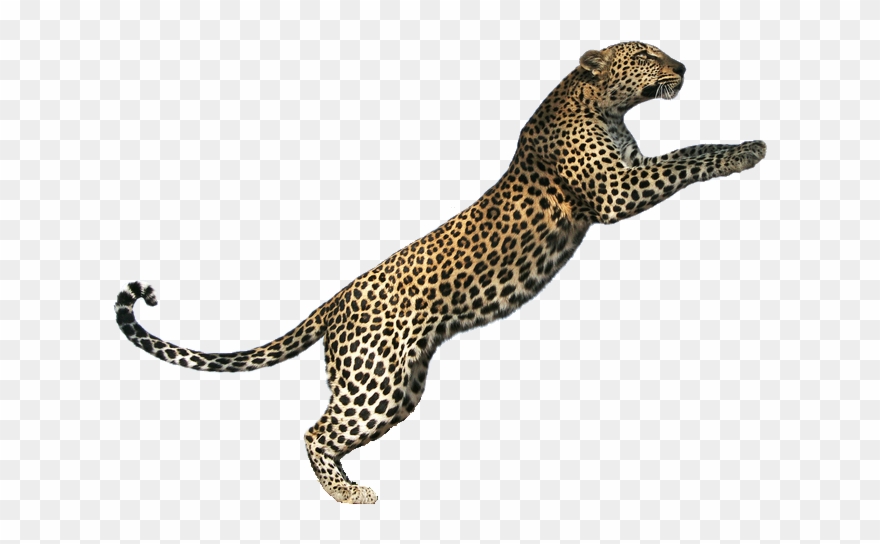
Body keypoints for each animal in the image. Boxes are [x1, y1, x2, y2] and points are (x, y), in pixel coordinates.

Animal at [115, 41, 766, 504]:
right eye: (646, 55)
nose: (683, 65)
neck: (601, 104)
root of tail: (335, 301)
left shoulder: (627, 175)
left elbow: (682, 153)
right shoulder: (616, 191)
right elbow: (690, 155)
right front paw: (746, 150)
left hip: (399, 386)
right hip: (375, 382)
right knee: (314, 432)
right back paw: (350, 496)